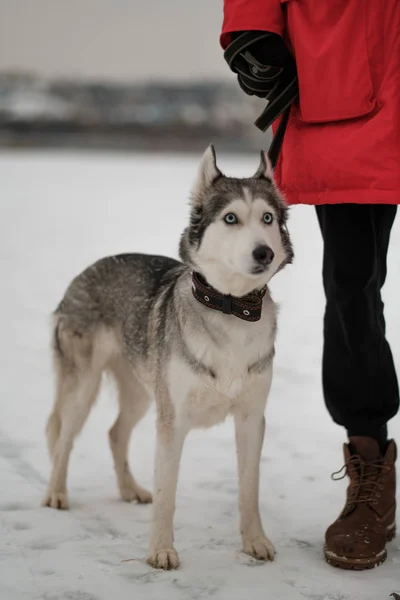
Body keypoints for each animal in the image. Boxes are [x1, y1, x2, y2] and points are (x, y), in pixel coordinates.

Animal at [43, 145, 294, 568]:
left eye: (267, 218)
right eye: (230, 218)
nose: (265, 252)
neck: (229, 308)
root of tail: (86, 271)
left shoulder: (250, 418)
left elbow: (249, 489)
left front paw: (256, 541)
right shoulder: (172, 420)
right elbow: (167, 493)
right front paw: (161, 551)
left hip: (141, 393)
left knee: (115, 433)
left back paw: (129, 489)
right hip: (85, 387)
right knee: (63, 437)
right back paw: (56, 494)